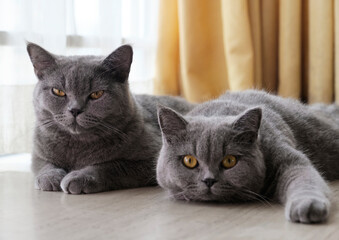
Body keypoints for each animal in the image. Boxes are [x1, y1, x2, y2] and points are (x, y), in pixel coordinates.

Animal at [26, 42, 194, 194]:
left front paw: (79, 177)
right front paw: (49, 177)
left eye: (96, 94)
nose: (75, 110)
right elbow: (43, 164)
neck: (77, 147)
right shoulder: (37, 152)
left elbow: (111, 166)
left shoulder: (151, 160)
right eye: (58, 92)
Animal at [159, 89, 339, 223]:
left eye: (229, 161)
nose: (209, 180)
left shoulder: (286, 157)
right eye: (189, 161)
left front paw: (308, 205)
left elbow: (303, 176)